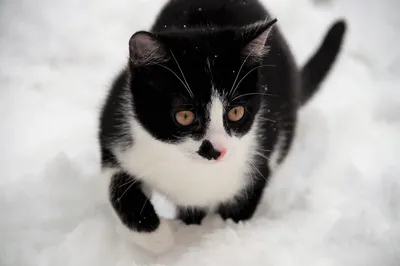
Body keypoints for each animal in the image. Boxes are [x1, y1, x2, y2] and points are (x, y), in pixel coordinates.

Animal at [97, 0, 346, 254]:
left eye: (236, 112)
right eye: (185, 116)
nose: (217, 150)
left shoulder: (257, 163)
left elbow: (238, 211)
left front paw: (217, 237)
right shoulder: (115, 128)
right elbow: (117, 185)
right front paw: (160, 237)